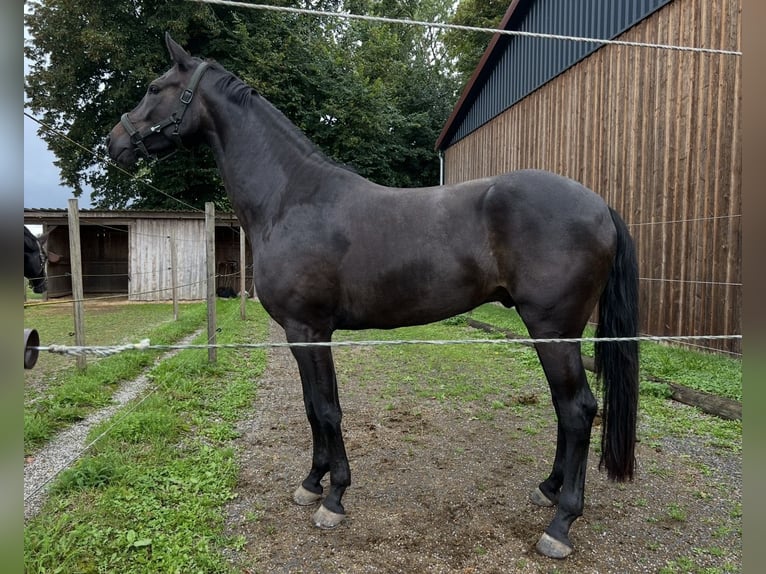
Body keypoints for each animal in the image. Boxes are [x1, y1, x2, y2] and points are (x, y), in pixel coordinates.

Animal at [107, 33, 639, 559]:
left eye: (155, 88)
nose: (115, 141)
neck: (291, 198)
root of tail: (598, 204)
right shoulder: (301, 336)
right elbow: (311, 407)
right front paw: (311, 483)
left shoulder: (309, 330)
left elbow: (327, 409)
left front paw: (335, 497)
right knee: (565, 409)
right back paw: (548, 489)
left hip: (552, 330)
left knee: (577, 411)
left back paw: (561, 524)